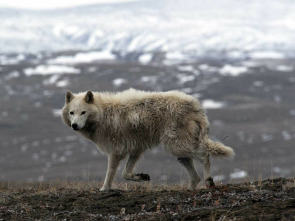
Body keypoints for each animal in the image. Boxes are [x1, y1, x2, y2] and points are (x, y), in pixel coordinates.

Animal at [61, 88, 235, 190]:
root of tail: (195, 105)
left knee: (204, 155)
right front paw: (142, 177)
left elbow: (110, 174)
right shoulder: (135, 150)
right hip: (179, 152)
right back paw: (190, 190)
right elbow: (125, 174)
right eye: (71, 113)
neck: (103, 115)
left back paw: (209, 180)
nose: (74, 125)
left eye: (83, 112)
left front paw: (105, 190)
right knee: (195, 175)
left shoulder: (115, 152)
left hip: (177, 147)